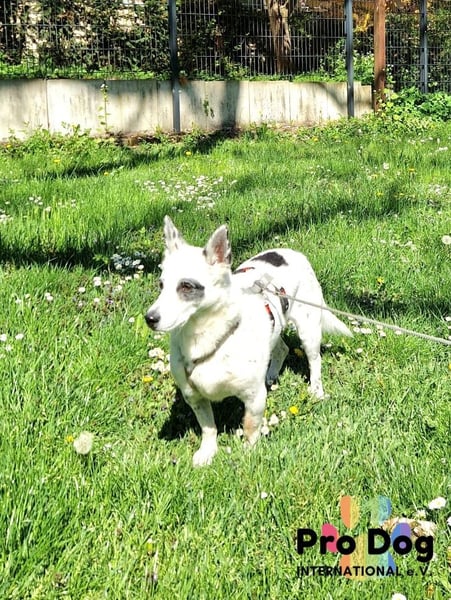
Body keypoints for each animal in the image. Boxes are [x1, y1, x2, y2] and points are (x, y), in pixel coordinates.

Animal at [145, 216, 352, 466]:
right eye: (161, 285)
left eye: (186, 286)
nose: (149, 318)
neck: (205, 338)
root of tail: (291, 252)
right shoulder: (194, 397)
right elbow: (208, 427)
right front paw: (207, 452)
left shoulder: (254, 398)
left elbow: (251, 427)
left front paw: (248, 454)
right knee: (282, 348)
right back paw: (272, 374)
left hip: (308, 329)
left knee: (314, 360)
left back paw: (316, 390)